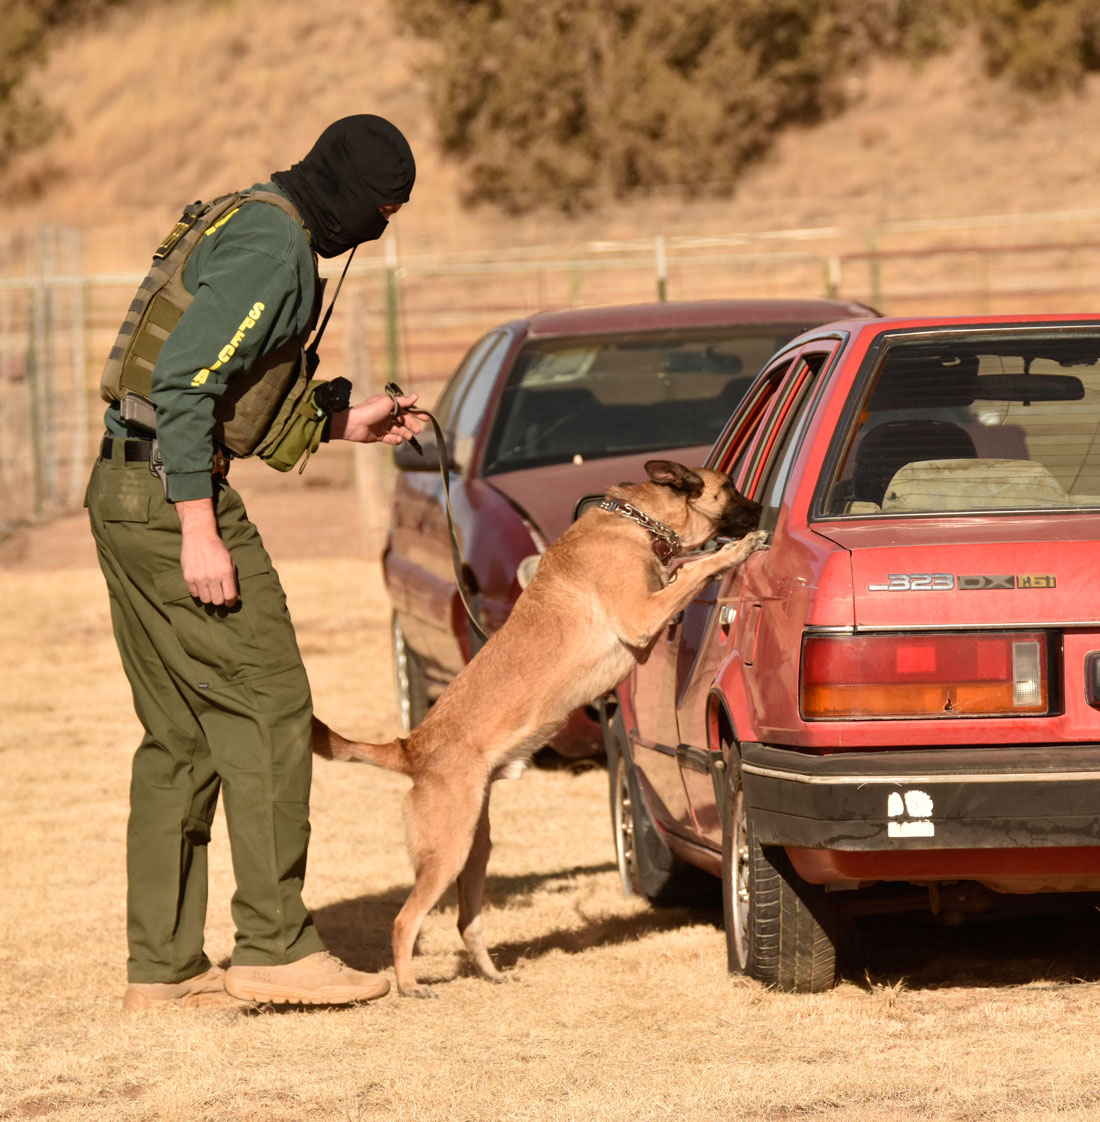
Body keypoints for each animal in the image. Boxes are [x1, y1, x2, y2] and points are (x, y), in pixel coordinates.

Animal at [309, 460, 763, 996]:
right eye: (729, 487)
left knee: (466, 921)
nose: (763, 507)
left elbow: (682, 569)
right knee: (404, 921)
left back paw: (490, 974)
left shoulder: (648, 625)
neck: (634, 522)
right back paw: (409, 985)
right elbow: (693, 568)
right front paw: (734, 550)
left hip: (475, 847)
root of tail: (410, 746)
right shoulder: (642, 617)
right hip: (447, 850)